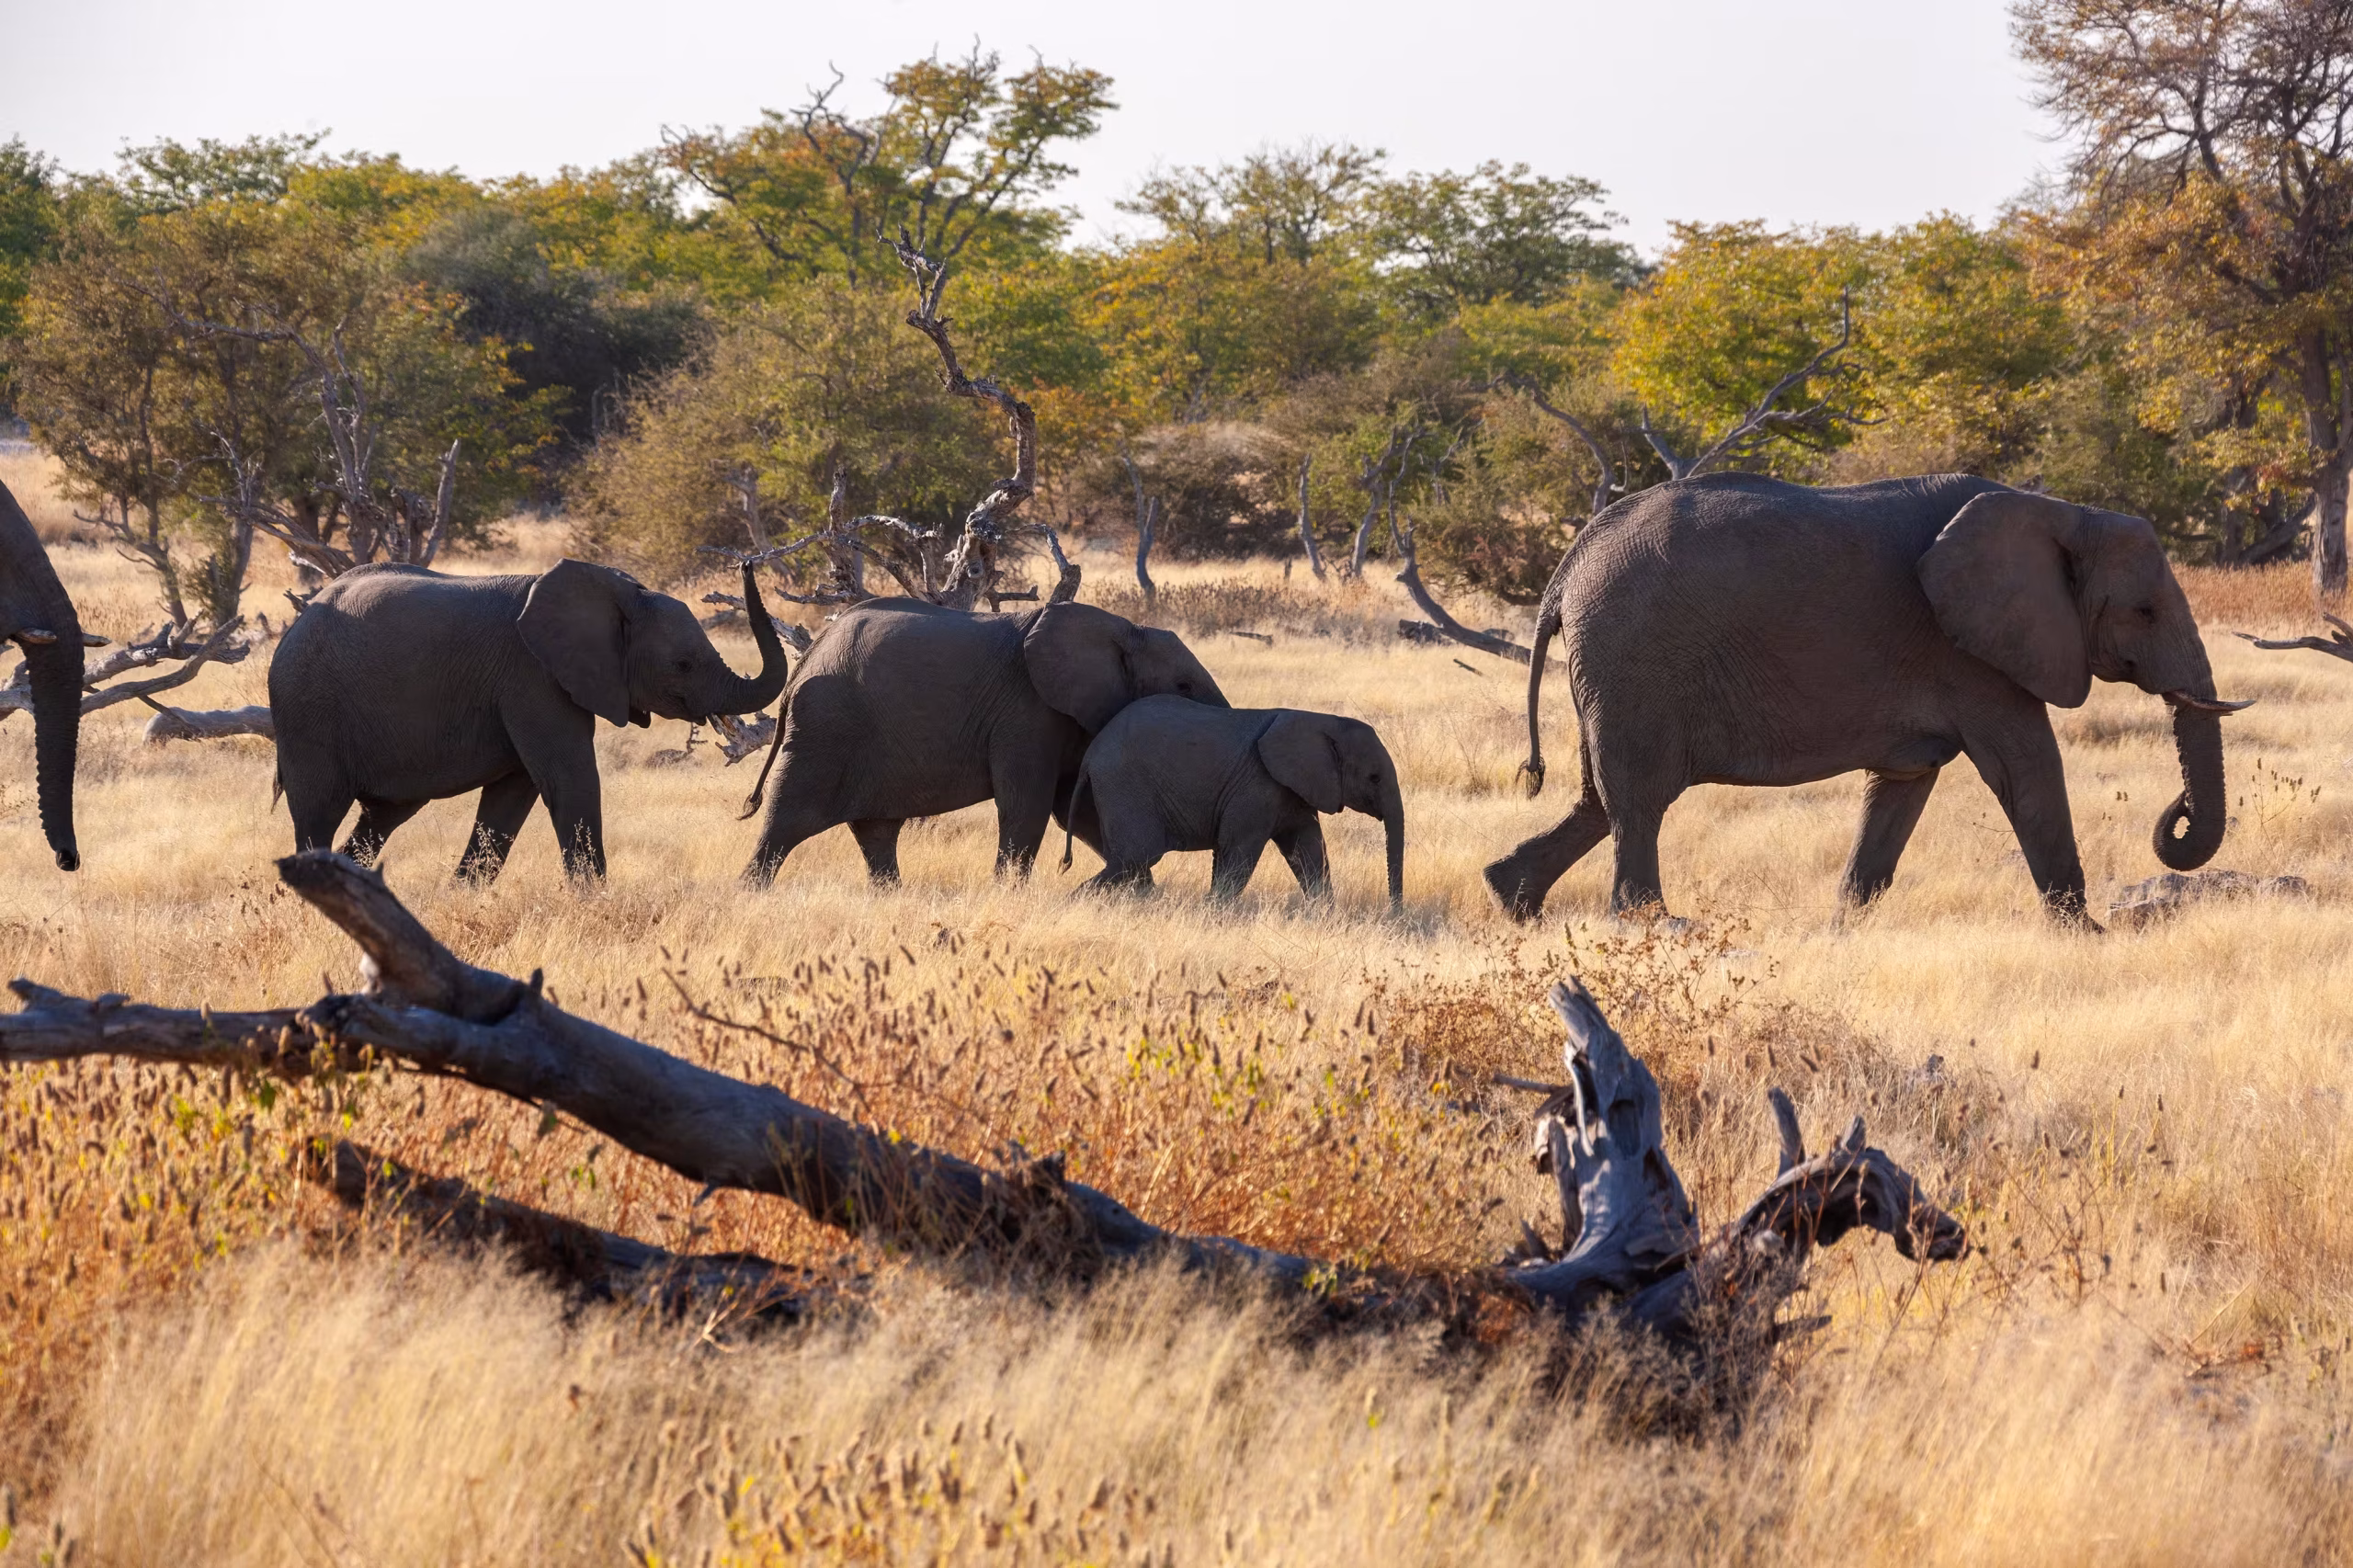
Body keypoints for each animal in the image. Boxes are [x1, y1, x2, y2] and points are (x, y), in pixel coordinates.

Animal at [271, 558, 788, 882]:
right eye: (682, 665)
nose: (746, 563)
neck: (618, 594)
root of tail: (295, 624)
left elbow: (511, 798)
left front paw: (463, 897)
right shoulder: (533, 677)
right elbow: (569, 779)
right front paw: (594, 906)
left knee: (381, 818)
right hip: (306, 712)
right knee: (318, 814)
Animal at [739, 598, 1228, 886]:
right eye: (1184, 686)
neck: (1125, 629)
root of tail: (806, 659)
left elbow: (1076, 807)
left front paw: (1140, 894)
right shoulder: (1028, 709)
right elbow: (1029, 804)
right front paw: (1009, 893)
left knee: (876, 830)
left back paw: (890, 895)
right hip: (826, 726)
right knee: (787, 818)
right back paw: (751, 891)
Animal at [1060, 697, 1405, 910]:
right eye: (1374, 778)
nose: (1395, 914)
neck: (1322, 722)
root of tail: (1092, 753)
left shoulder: (1291, 789)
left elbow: (1308, 849)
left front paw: (1325, 914)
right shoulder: (1258, 784)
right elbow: (1239, 850)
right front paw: (1213, 912)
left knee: (1129, 861)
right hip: (1124, 784)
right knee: (1135, 857)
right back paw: (1075, 903)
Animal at [1483, 474, 2249, 927]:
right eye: (2144, 612)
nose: (2177, 812)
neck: (2063, 512)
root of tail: (1568, 570)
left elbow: (1904, 788)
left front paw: (1843, 931)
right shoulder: (1970, 653)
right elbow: (2027, 769)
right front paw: (2085, 936)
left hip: (1613, 673)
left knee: (1600, 799)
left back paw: (1513, 901)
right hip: (1634, 660)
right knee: (1638, 801)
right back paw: (1656, 926)